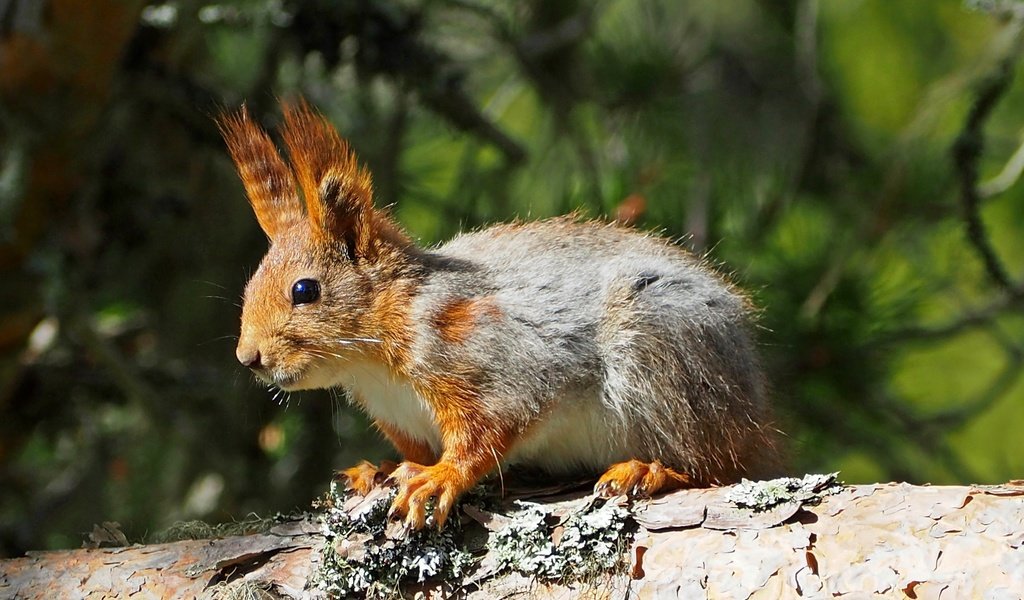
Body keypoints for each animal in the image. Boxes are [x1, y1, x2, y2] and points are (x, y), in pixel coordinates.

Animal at [220, 99, 778, 528]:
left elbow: (490, 429)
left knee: (719, 466)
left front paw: (439, 478)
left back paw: (650, 471)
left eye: (305, 290)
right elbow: (414, 452)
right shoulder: (401, 417)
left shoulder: (488, 358)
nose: (248, 358)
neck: (373, 362)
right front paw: (381, 470)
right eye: (250, 283)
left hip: (665, 358)